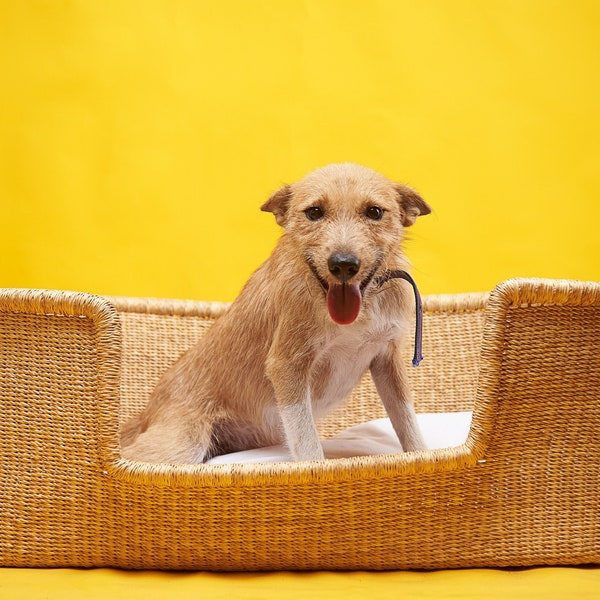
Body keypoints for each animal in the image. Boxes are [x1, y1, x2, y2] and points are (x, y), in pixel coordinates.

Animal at [122, 164, 432, 464]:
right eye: (314, 212)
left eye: (374, 212)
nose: (343, 264)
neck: (357, 315)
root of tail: (146, 414)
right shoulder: (287, 366)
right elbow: (306, 441)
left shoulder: (387, 359)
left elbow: (407, 421)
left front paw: (422, 456)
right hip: (180, 446)